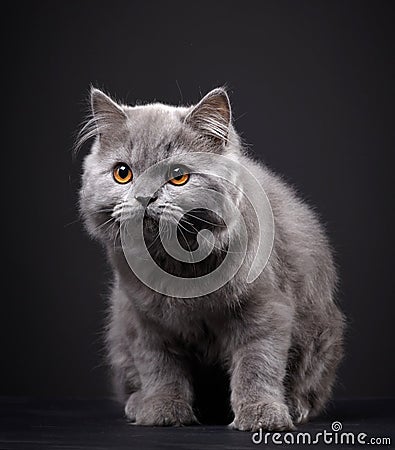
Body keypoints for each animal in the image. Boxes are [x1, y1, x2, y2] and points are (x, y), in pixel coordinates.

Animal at [79, 86, 344, 430]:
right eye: (123, 173)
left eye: (178, 176)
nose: (144, 197)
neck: (178, 267)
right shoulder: (145, 322)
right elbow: (159, 368)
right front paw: (163, 411)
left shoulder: (264, 310)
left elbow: (257, 364)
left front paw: (261, 415)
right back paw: (139, 404)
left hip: (321, 337)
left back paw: (295, 407)